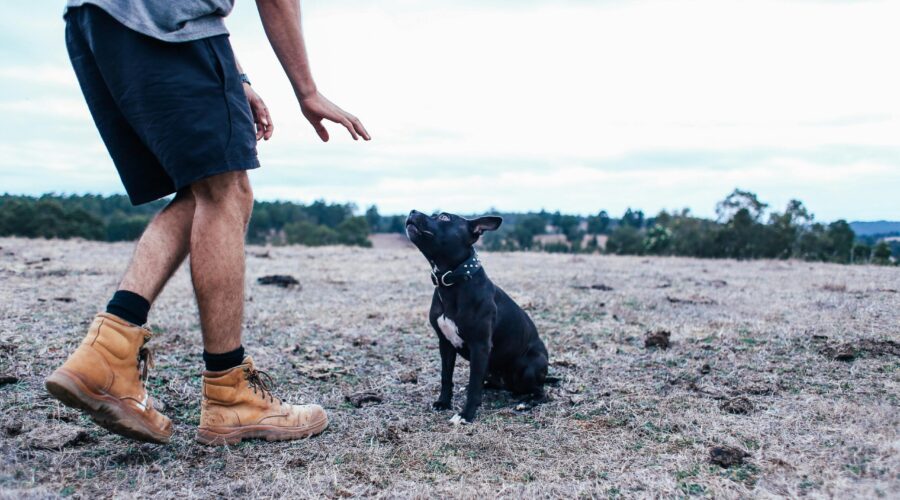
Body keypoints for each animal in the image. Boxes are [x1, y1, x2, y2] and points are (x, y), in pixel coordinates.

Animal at [406, 209, 548, 424]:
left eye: (444, 217)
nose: (412, 211)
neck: (453, 282)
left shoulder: (480, 347)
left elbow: (473, 385)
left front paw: (466, 415)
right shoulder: (445, 343)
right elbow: (446, 376)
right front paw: (443, 402)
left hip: (528, 367)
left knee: (541, 392)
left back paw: (525, 403)